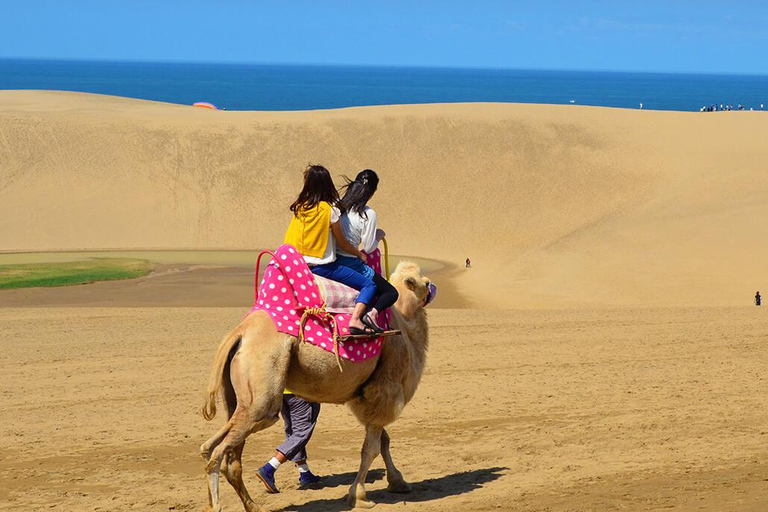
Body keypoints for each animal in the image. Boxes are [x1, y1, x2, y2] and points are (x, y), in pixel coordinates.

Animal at [201, 262, 436, 510]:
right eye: (424, 282)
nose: (432, 287)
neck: (404, 321)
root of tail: (240, 333)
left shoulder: (370, 399)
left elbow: (384, 442)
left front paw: (398, 482)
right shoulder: (384, 390)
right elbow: (370, 449)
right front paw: (359, 496)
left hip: (239, 399)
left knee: (217, 452)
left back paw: (251, 505)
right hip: (262, 397)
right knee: (220, 452)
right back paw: (218, 505)